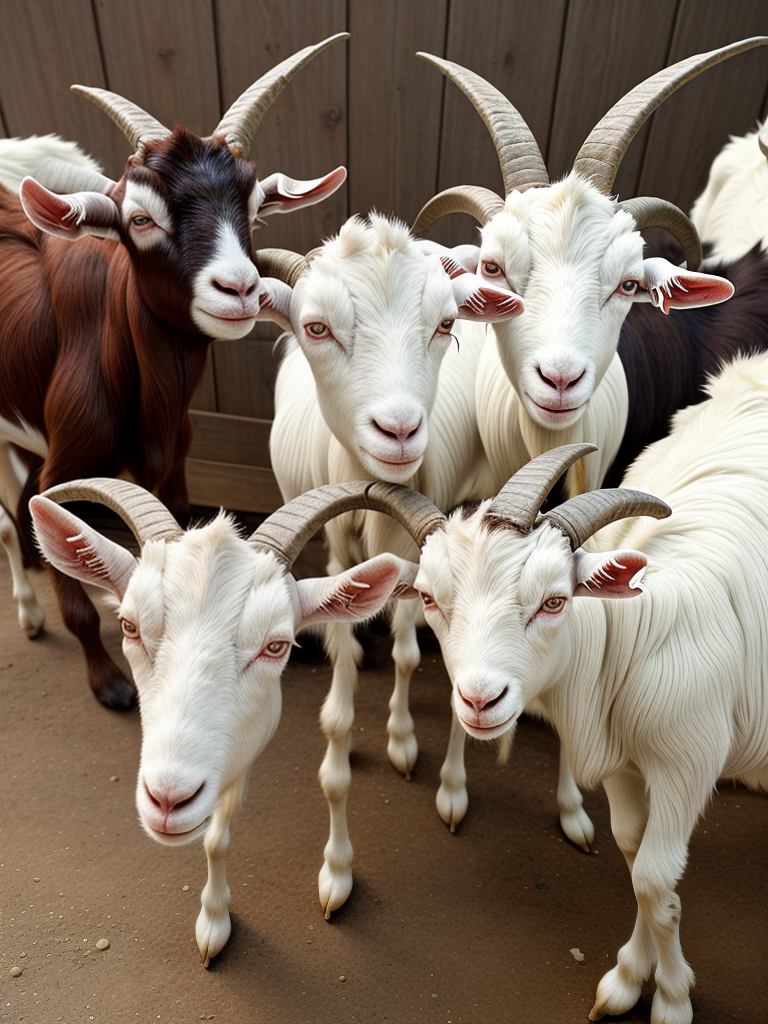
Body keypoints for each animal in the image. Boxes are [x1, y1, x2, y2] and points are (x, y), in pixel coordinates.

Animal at [0, 34, 348, 711]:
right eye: (140, 219)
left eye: (255, 209)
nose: (238, 288)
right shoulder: (67, 462)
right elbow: (67, 574)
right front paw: (108, 682)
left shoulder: (173, 459)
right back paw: (27, 611)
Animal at [29, 475, 436, 966]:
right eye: (128, 626)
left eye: (276, 646)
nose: (168, 800)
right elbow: (215, 834)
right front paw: (214, 920)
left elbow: (336, 753)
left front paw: (337, 872)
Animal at [256, 213, 524, 916]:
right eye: (316, 327)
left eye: (446, 324)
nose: (399, 431)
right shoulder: (337, 549)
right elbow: (339, 708)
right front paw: (336, 872)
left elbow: (418, 648)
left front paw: (439, 775)